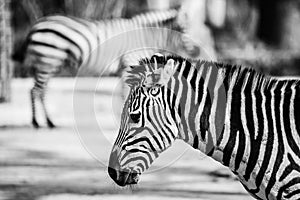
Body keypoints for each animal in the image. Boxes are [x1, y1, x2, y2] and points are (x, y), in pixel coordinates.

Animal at [22, 8, 199, 128]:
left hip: (49, 62)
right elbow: (127, 94)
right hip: (48, 60)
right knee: (36, 90)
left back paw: (48, 121)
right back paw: (37, 122)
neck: (146, 36)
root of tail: (38, 24)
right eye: (183, 30)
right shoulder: (130, 63)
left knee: (39, 90)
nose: (197, 51)